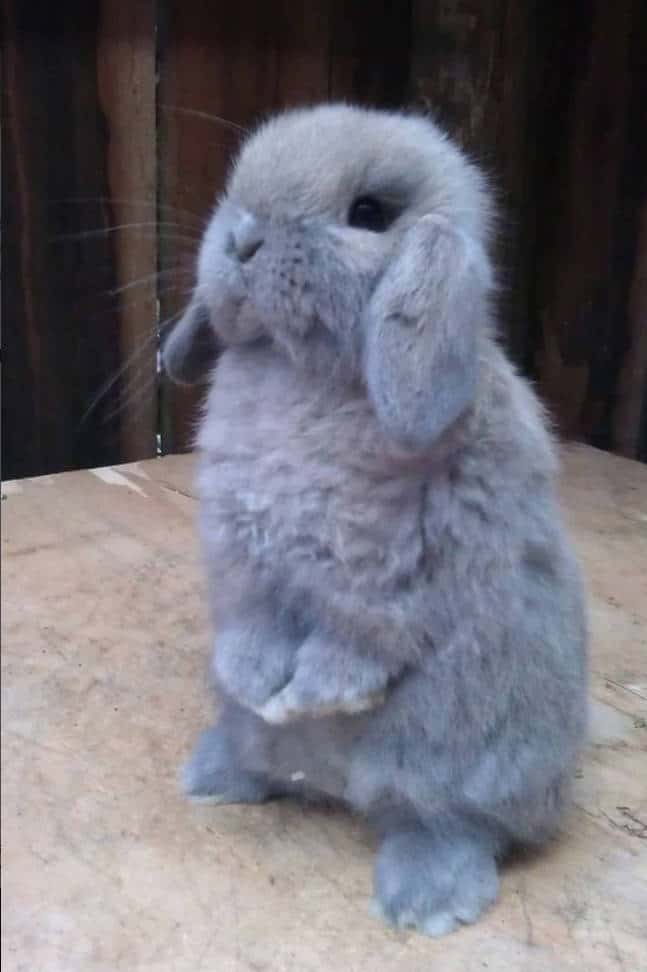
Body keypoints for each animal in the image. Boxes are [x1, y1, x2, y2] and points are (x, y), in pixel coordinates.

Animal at [162, 104, 588, 936]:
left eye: (368, 214)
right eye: (237, 188)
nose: (241, 239)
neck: (297, 372)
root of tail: (333, 785)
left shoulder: (380, 572)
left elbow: (355, 644)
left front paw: (307, 696)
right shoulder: (242, 560)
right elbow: (253, 627)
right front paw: (257, 683)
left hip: (457, 759)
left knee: (454, 824)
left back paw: (425, 900)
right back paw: (216, 772)